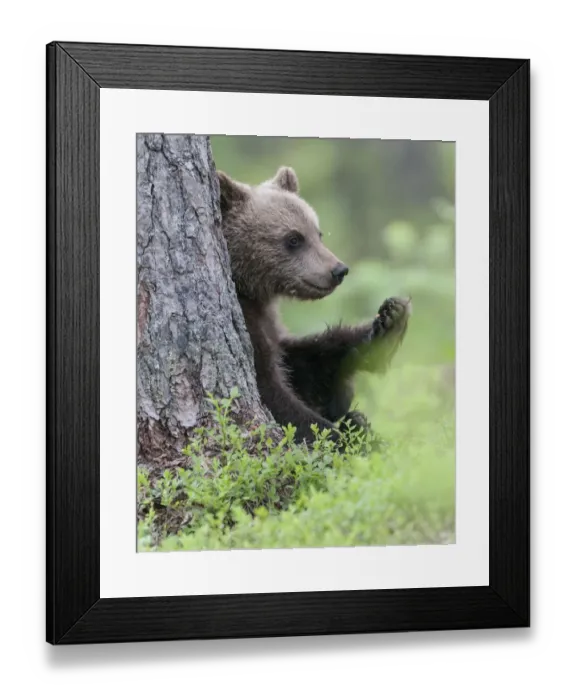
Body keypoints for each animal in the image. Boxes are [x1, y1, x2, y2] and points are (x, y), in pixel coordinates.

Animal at [218, 165, 411, 444]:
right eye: (293, 239)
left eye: (317, 233)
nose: (338, 270)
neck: (250, 289)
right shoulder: (247, 321)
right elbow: (275, 395)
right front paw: (347, 440)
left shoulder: (271, 323)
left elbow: (304, 363)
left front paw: (388, 323)